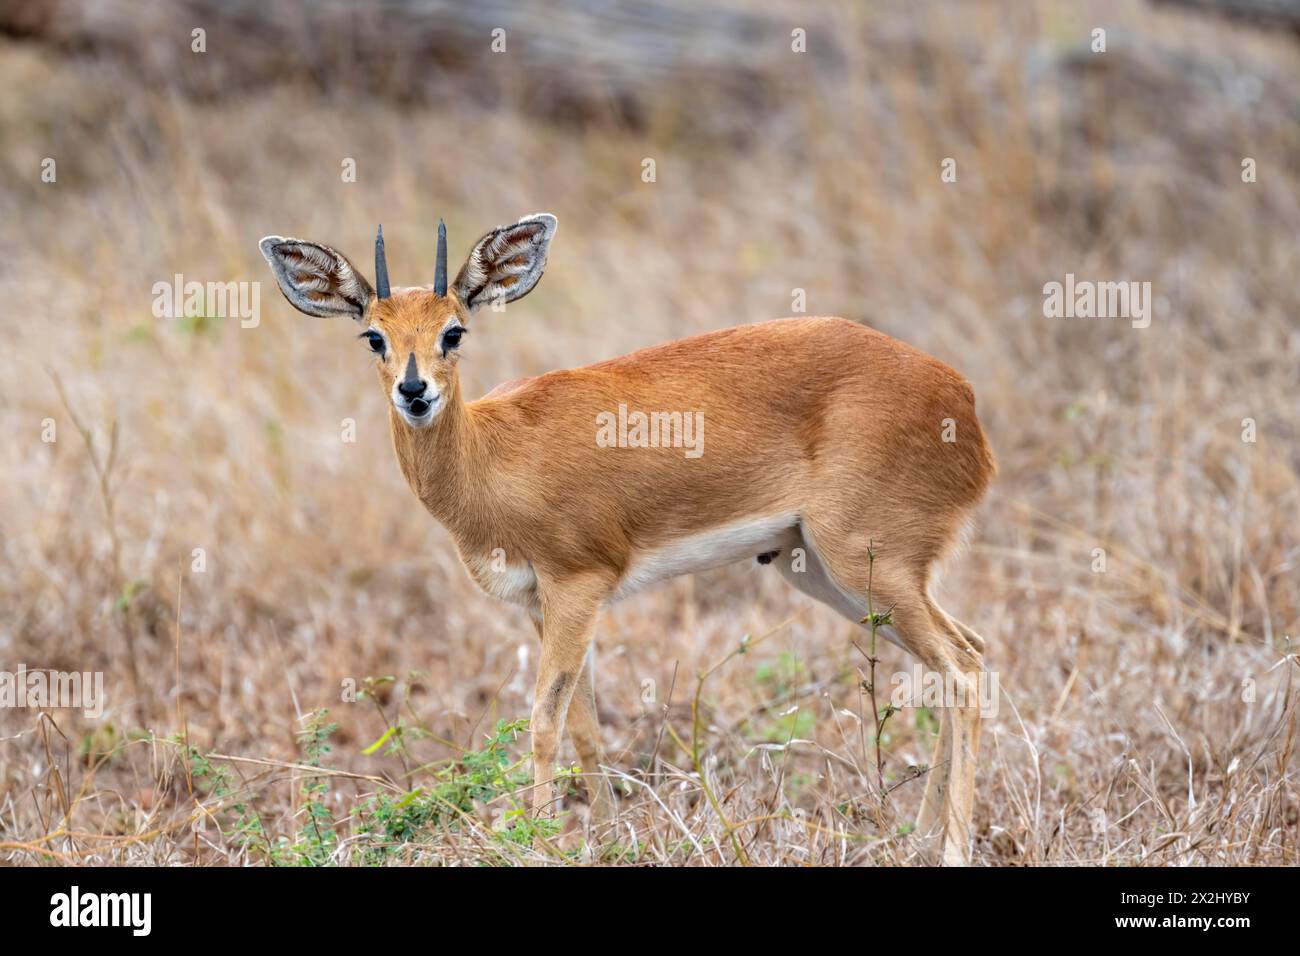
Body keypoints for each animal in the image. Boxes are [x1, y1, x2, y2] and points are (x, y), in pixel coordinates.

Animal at [261, 217, 993, 868]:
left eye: (453, 330)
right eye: (373, 337)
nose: (415, 392)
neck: (493, 455)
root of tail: (959, 394)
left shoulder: (578, 586)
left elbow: (544, 722)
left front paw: (542, 842)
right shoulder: (541, 605)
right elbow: (584, 724)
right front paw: (607, 842)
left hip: (868, 563)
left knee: (963, 669)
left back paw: (952, 849)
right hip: (821, 570)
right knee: (965, 655)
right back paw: (918, 840)